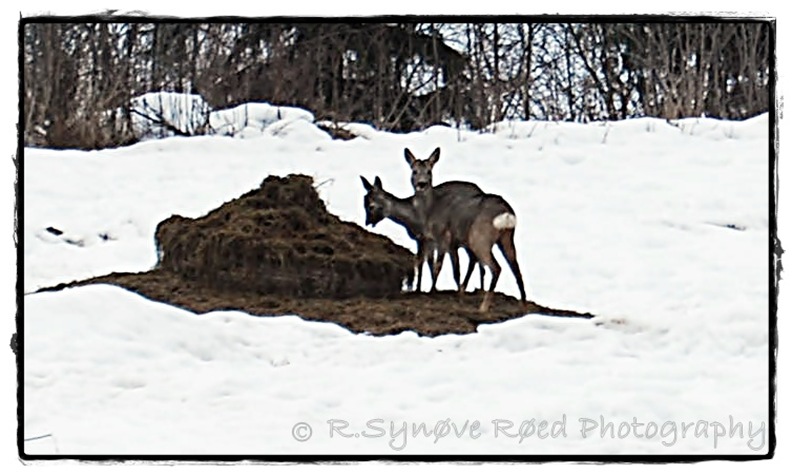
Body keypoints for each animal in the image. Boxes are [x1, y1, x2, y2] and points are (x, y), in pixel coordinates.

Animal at [406, 146, 528, 312]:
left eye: (429, 171)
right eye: (414, 171)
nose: (421, 184)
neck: (430, 209)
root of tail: (506, 213)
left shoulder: (444, 237)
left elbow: (440, 266)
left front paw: (433, 291)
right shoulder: (439, 240)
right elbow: (436, 264)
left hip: (479, 238)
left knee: (496, 268)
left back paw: (483, 306)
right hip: (506, 237)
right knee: (516, 268)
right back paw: (523, 304)